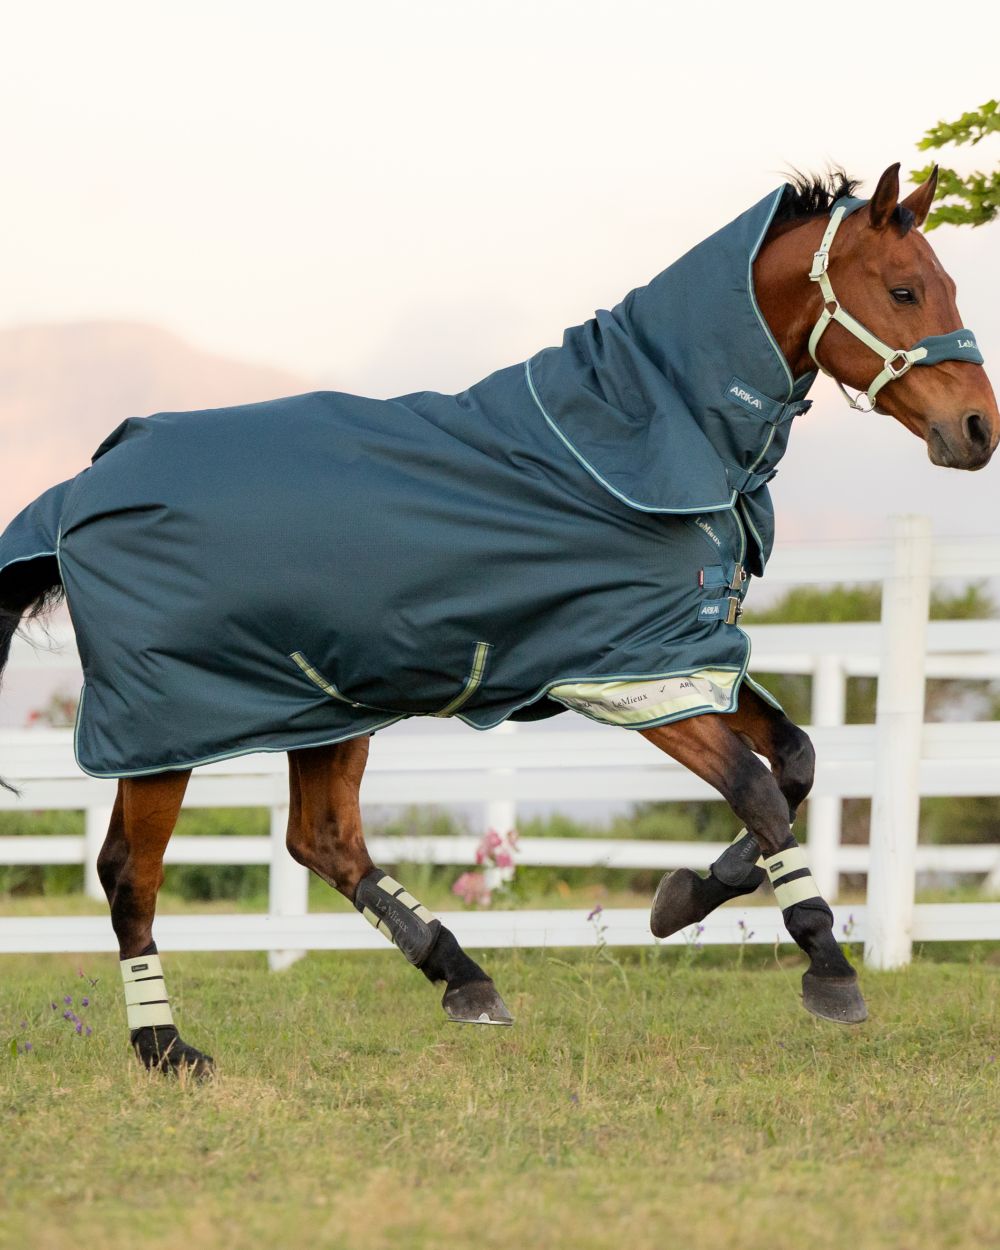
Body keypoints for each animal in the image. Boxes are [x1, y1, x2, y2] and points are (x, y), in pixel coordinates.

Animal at [0, 162, 996, 1077]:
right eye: (904, 289)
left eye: (945, 285)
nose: (979, 429)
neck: (648, 433)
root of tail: (81, 487)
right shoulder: (628, 672)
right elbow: (756, 786)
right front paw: (828, 964)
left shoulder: (687, 656)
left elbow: (796, 764)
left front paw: (687, 896)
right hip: (165, 730)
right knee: (132, 874)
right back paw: (166, 1046)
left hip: (328, 704)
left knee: (323, 841)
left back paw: (464, 978)